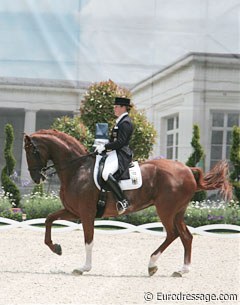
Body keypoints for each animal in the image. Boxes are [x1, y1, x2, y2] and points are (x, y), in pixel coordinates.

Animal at [23, 128, 231, 276]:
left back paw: (152, 265)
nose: (36, 178)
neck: (77, 169)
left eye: (32, 151)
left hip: (166, 210)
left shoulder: (87, 213)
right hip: (178, 212)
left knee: (173, 234)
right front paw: (56, 248)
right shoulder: (73, 211)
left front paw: (84, 268)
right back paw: (182, 270)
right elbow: (49, 219)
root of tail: (187, 169)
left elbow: (89, 240)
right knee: (186, 236)